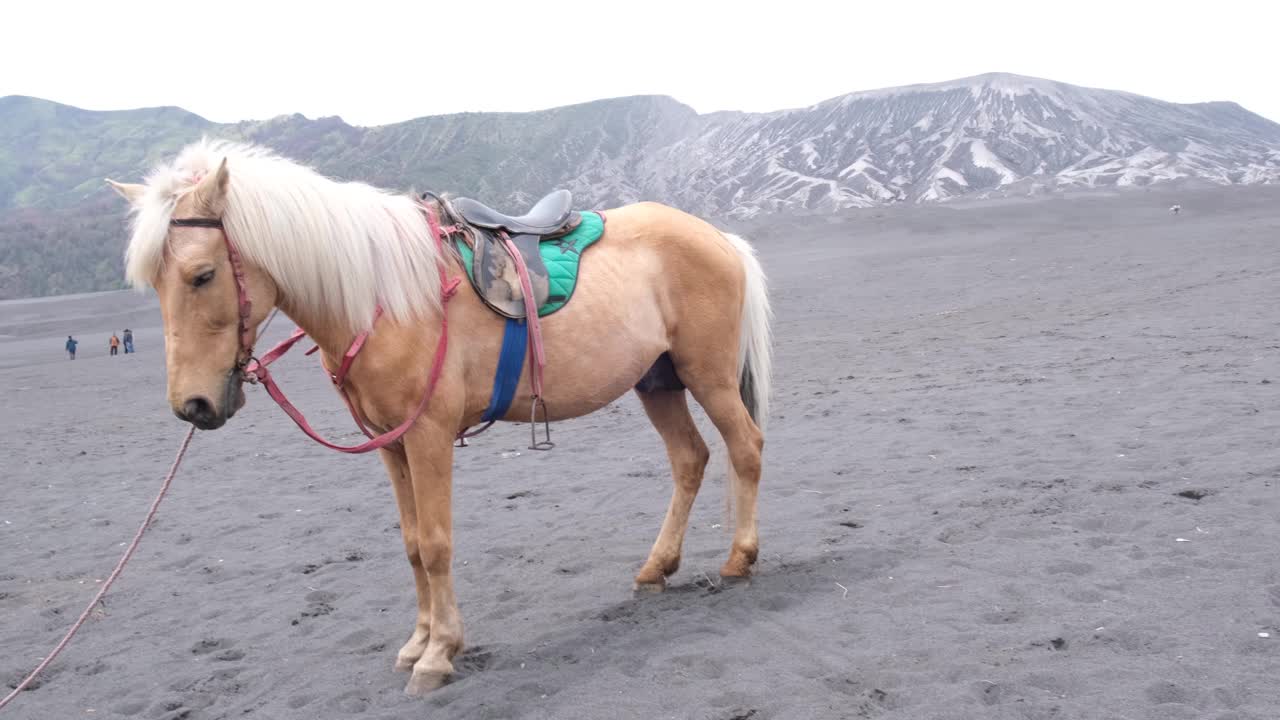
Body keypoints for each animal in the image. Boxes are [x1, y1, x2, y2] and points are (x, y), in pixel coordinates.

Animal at [104, 137, 768, 691]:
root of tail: (719, 237)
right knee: (690, 459)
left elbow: (437, 543)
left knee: (745, 448)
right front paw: (417, 643)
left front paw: (440, 653)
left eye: (202, 275)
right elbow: (411, 545)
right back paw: (658, 567)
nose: (193, 405)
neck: (380, 295)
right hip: (658, 382)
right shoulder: (390, 442)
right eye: (155, 285)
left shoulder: (428, 434)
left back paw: (740, 558)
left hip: (707, 377)